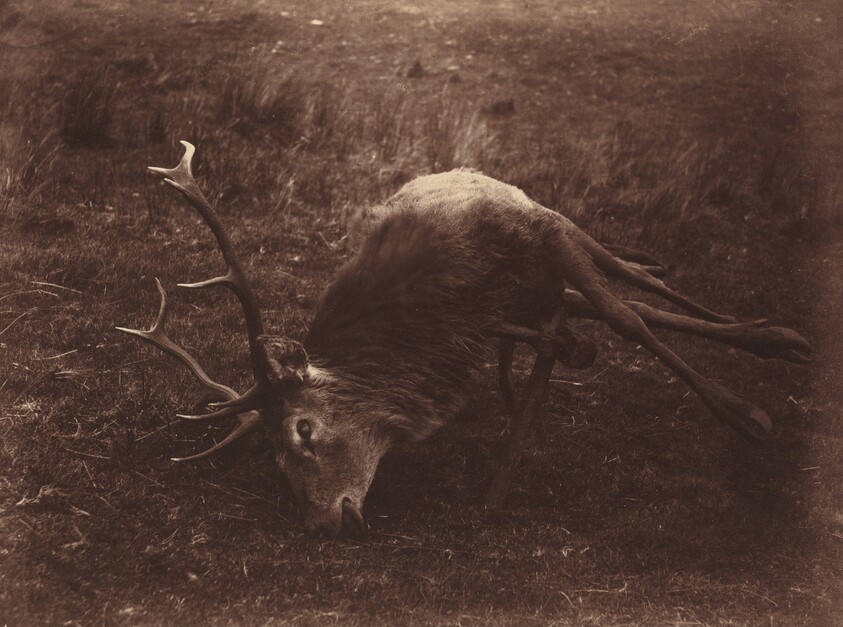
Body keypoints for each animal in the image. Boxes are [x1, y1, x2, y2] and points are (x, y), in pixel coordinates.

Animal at [117, 141, 811, 538]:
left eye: (302, 431)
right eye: (275, 460)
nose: (319, 525)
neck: (446, 304)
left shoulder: (545, 234)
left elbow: (628, 318)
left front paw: (746, 413)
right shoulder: (502, 312)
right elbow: (610, 320)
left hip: (560, 233)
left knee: (634, 282)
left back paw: (774, 335)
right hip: (541, 288)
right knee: (615, 297)